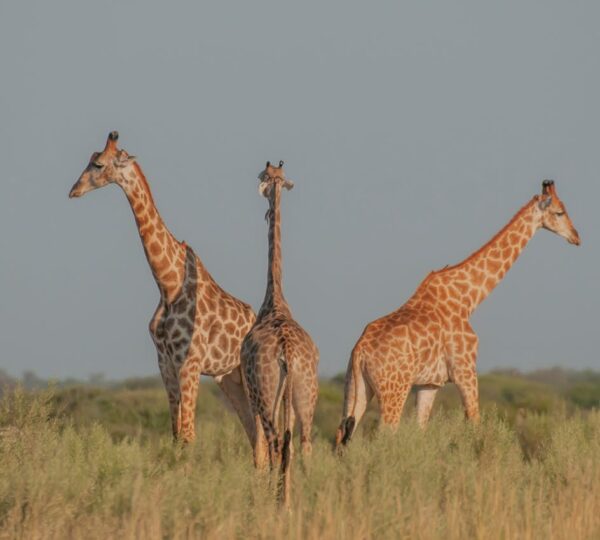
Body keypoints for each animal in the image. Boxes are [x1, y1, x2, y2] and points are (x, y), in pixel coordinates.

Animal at [70, 131, 258, 442]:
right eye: (90, 159)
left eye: (98, 164)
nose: (74, 190)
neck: (168, 286)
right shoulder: (166, 363)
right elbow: (176, 434)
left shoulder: (190, 364)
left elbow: (189, 434)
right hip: (228, 377)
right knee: (257, 434)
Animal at [336, 179, 580, 446]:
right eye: (560, 212)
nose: (576, 237)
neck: (467, 298)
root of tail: (360, 350)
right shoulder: (466, 369)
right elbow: (475, 423)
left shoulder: (429, 383)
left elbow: (420, 430)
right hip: (393, 390)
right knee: (383, 435)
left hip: (355, 386)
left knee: (342, 433)